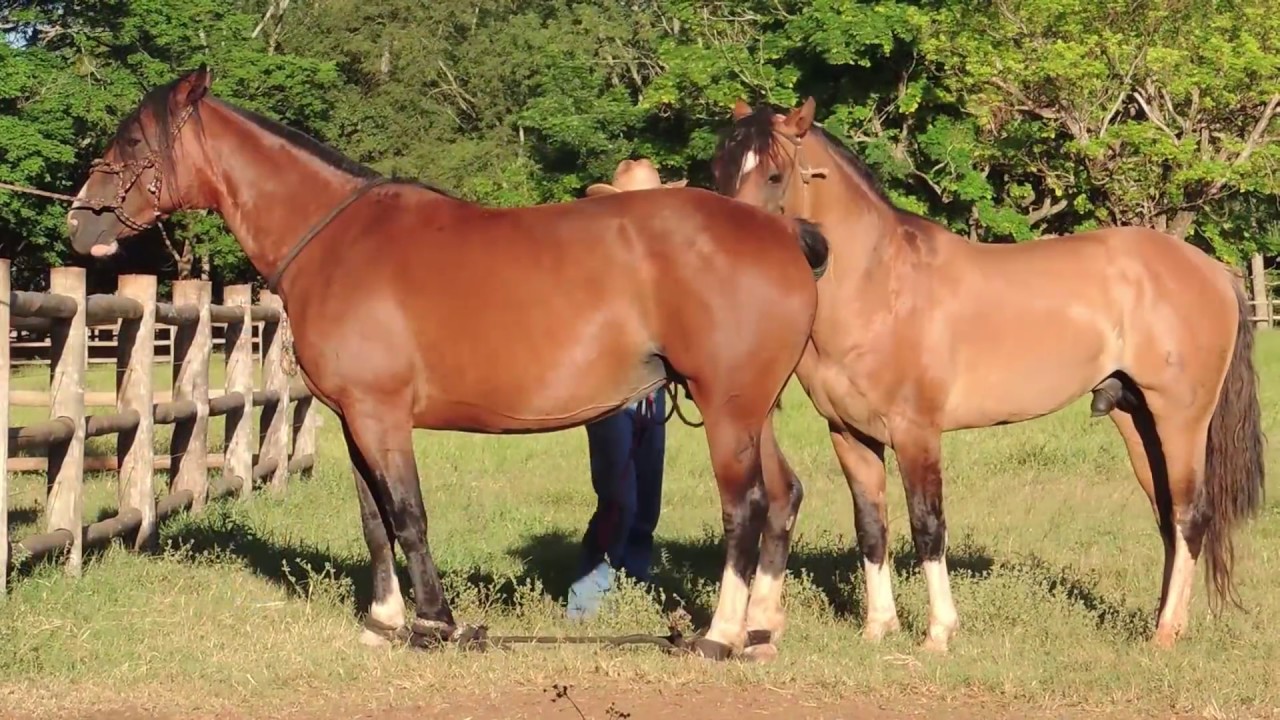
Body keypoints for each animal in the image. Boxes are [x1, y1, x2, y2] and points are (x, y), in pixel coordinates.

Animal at [64, 70, 829, 661]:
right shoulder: (356, 420)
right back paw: (761, 628)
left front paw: (437, 624)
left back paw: (720, 635)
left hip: (727, 409)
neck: (337, 239)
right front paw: (385, 623)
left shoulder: (381, 416)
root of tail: (780, 231)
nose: (79, 221)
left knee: (745, 507)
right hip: (751, 411)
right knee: (784, 494)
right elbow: (375, 520)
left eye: (132, 140)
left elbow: (408, 515)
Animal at [716, 96, 1264, 650]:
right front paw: (878, 628)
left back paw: (1166, 633)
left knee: (1190, 515)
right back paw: (1161, 622)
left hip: (1181, 420)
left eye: (775, 174)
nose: (736, 247)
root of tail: (1214, 271)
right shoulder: (850, 434)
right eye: (719, 169)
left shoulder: (916, 434)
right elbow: (871, 527)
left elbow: (928, 526)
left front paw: (938, 633)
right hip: (1137, 420)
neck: (880, 286)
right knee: (1167, 517)